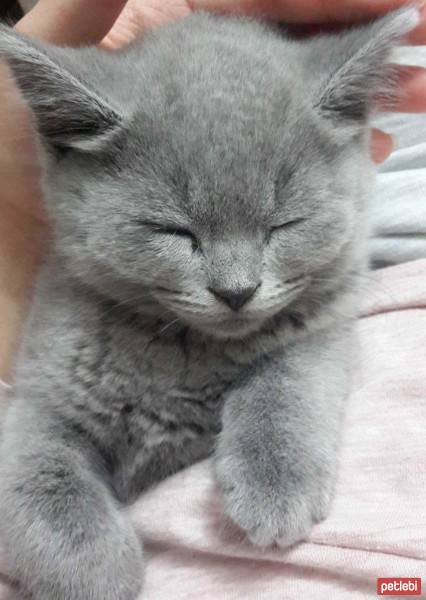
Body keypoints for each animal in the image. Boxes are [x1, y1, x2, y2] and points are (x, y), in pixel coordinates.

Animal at [0, 5, 420, 600]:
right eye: (174, 231)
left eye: (283, 224)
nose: (236, 290)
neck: (186, 352)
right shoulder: (41, 391)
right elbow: (38, 472)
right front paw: (93, 570)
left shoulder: (327, 330)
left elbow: (289, 383)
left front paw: (275, 488)